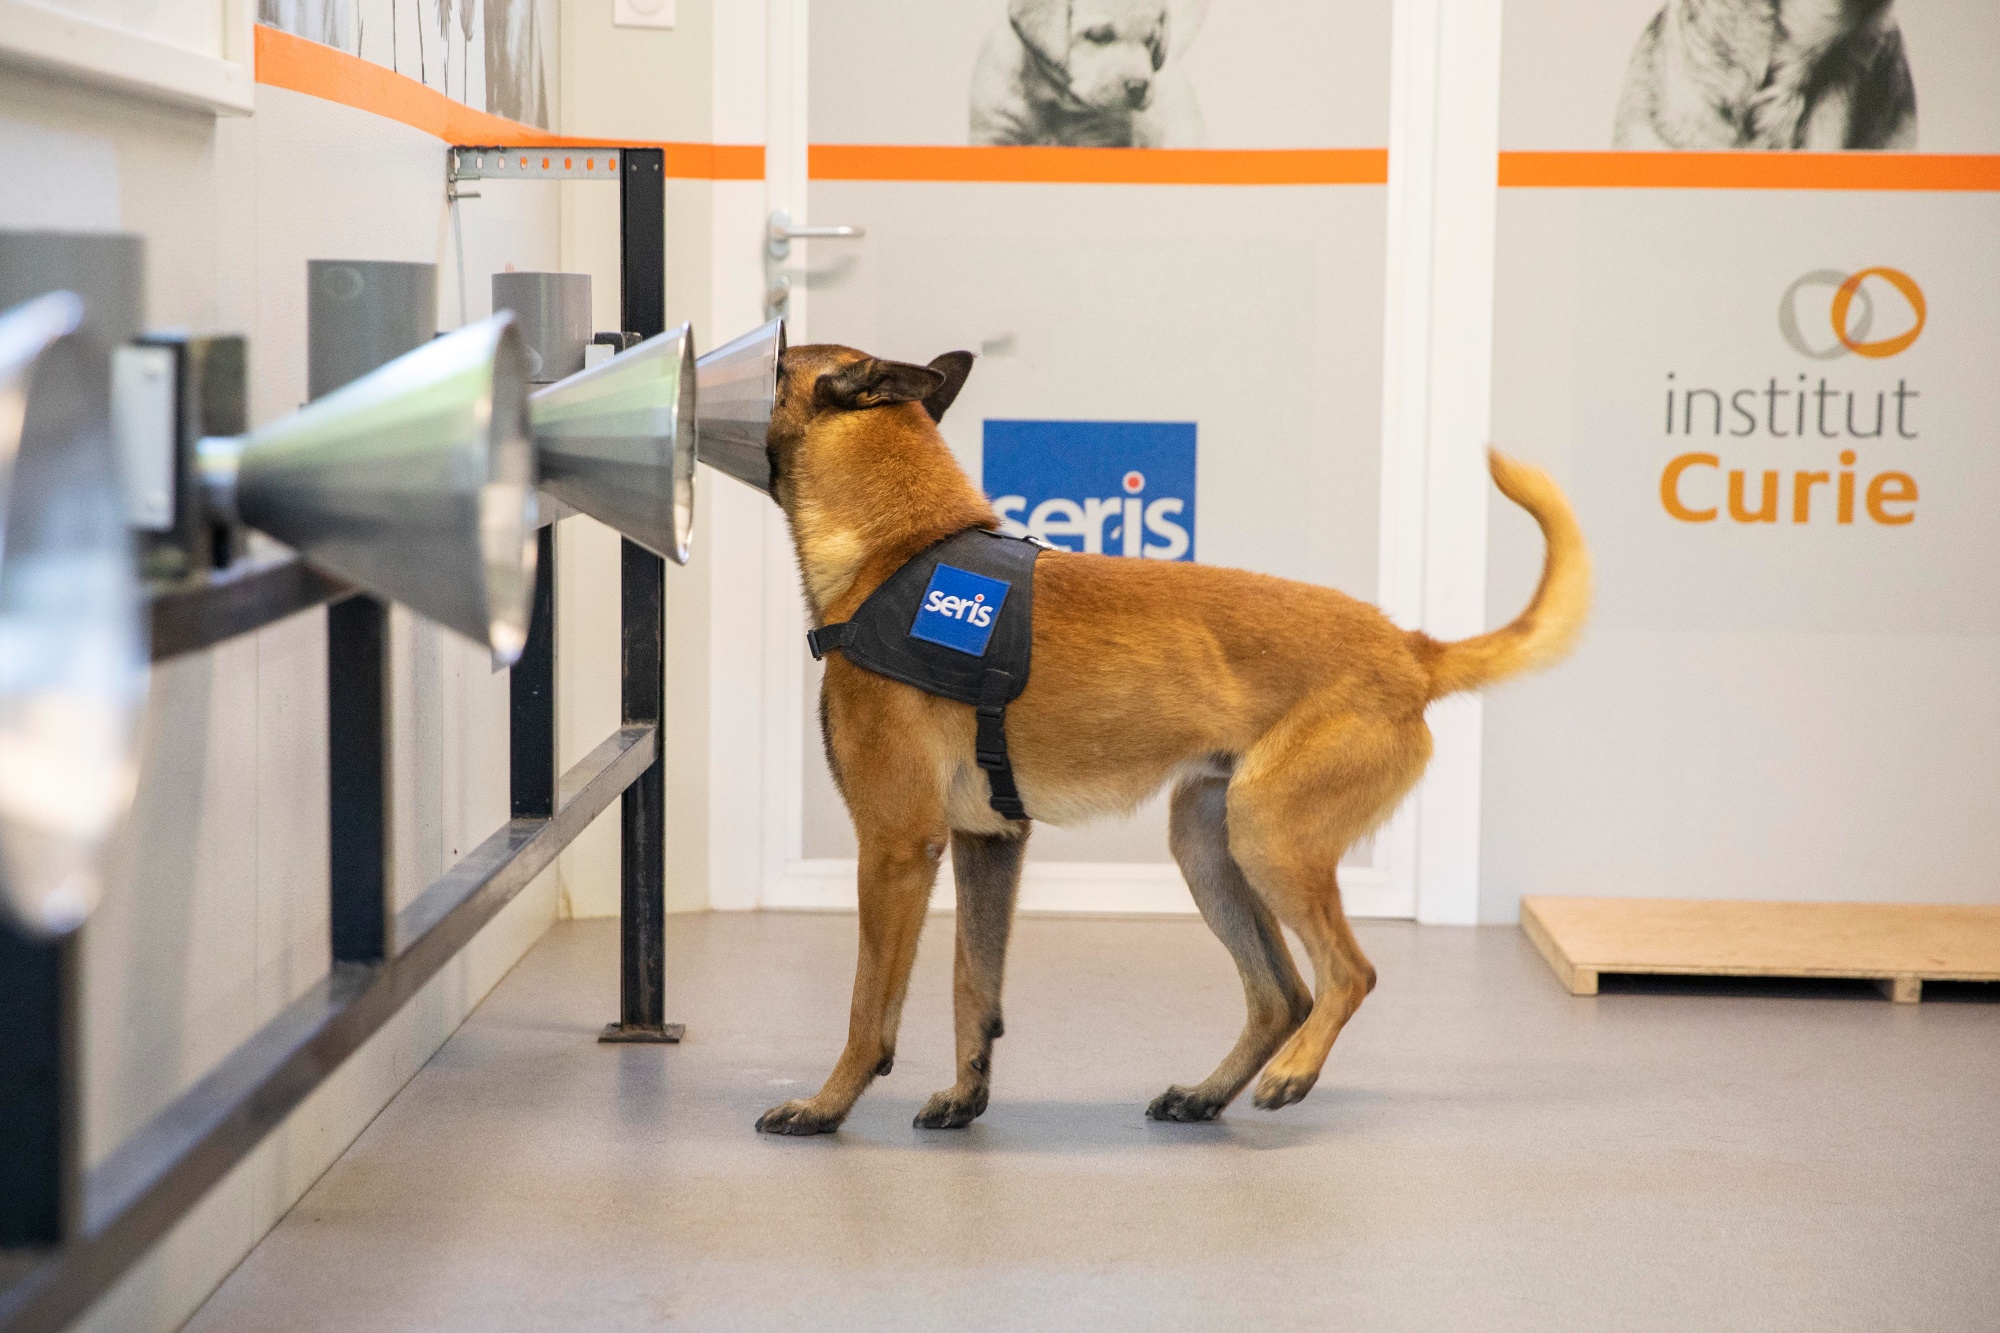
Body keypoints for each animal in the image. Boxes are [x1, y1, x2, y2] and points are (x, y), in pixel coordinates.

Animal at [751, 344, 1591, 1135]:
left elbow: (869, 1007)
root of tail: (1410, 648)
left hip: (1268, 835)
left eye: (776, 357)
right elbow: (972, 985)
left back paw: (1293, 1073)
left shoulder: (895, 848)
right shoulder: (987, 842)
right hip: (1209, 846)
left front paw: (825, 1106)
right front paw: (965, 1096)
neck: (901, 551)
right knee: (1281, 994)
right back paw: (1209, 1092)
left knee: (1348, 974)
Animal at [970, 0, 1207, 147]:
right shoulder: (993, 134)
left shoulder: (1101, 139)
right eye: (1098, 36)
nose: (1139, 87)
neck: (1052, 102)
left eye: (1150, 42)